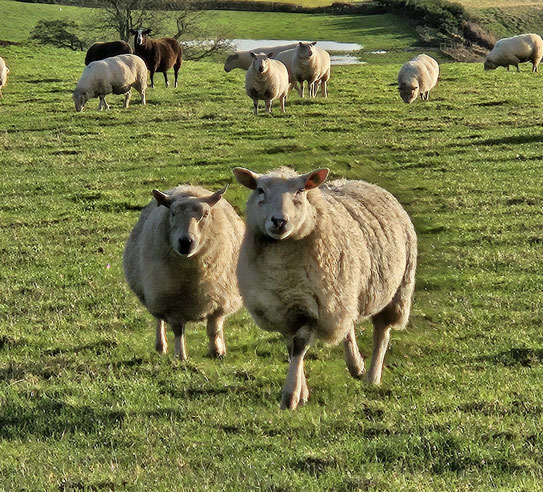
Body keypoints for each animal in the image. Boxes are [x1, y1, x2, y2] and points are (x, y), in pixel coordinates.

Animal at [123, 184, 244, 362]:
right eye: (173, 213)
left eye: (206, 214)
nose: (186, 242)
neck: (192, 277)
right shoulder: (172, 302)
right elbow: (178, 331)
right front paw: (180, 356)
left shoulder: (219, 298)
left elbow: (214, 328)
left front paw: (217, 351)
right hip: (156, 292)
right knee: (159, 320)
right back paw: (161, 345)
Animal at [233, 167, 416, 410]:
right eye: (260, 190)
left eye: (300, 191)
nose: (279, 221)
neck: (285, 272)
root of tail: (362, 182)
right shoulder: (283, 309)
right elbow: (291, 348)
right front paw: (301, 393)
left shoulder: (314, 309)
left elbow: (300, 346)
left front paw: (290, 396)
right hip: (342, 294)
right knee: (348, 325)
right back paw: (356, 366)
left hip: (395, 290)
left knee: (382, 333)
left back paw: (372, 377)